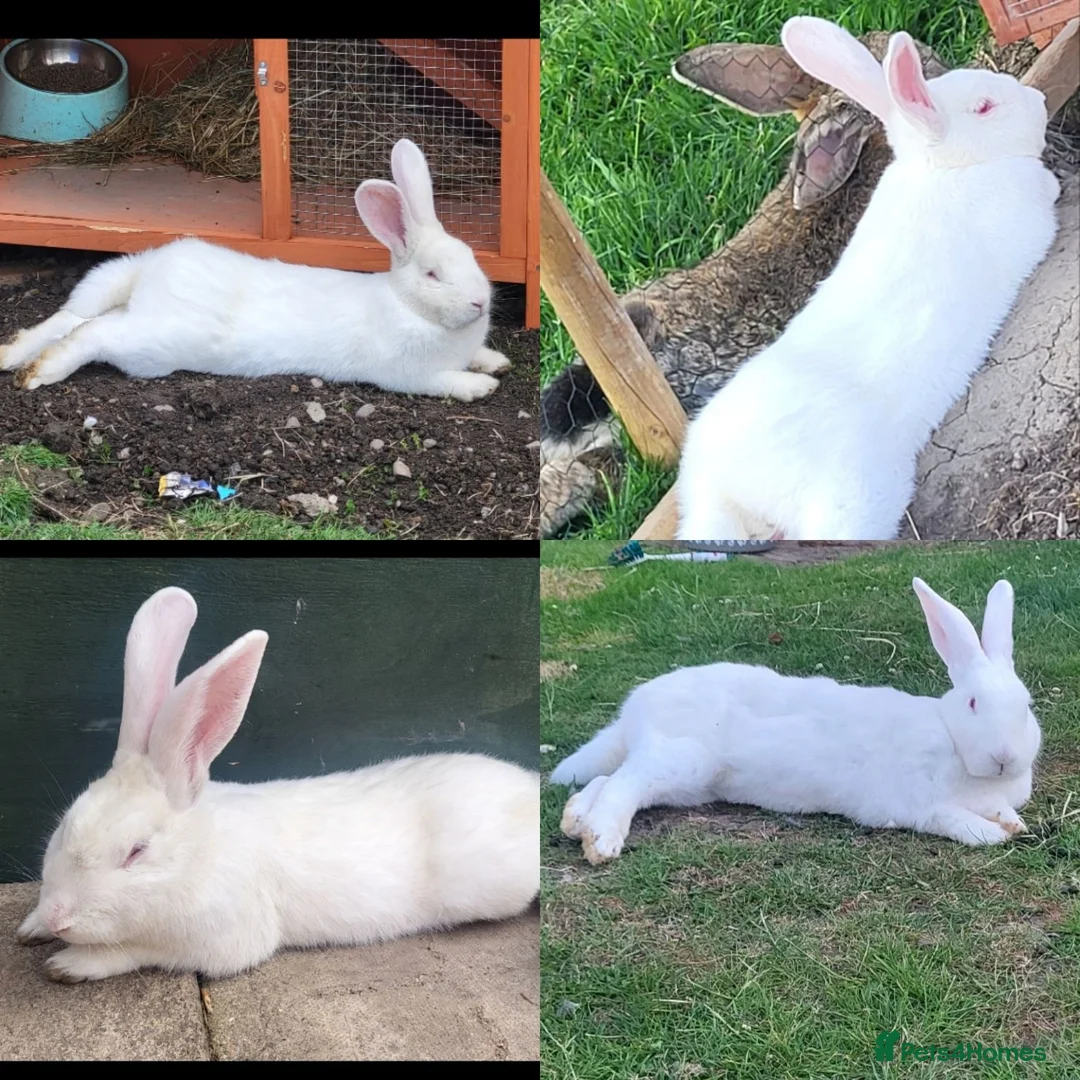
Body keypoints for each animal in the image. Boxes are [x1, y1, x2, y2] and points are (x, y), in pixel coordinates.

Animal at [0, 139, 510, 402]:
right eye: (432, 275)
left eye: (471, 257)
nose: (480, 302)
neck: (409, 307)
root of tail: (151, 278)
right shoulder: (408, 375)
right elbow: (447, 382)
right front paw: (482, 384)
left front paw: (495, 362)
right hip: (152, 345)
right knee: (93, 334)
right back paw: (38, 373)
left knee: (69, 318)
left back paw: (13, 354)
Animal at [14, 586, 540, 983]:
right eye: (64, 827)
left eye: (136, 852)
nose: (59, 915)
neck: (198, 852)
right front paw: (32, 926)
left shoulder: (223, 939)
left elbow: (139, 951)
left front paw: (71, 962)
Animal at [550, 577, 1041, 865]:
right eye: (974, 703)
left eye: (1027, 706)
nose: (1004, 757)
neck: (955, 744)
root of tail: (634, 709)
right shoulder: (916, 803)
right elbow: (954, 819)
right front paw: (992, 835)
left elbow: (1001, 810)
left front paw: (1013, 823)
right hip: (681, 758)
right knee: (623, 784)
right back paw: (601, 841)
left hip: (687, 783)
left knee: (610, 779)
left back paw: (576, 821)